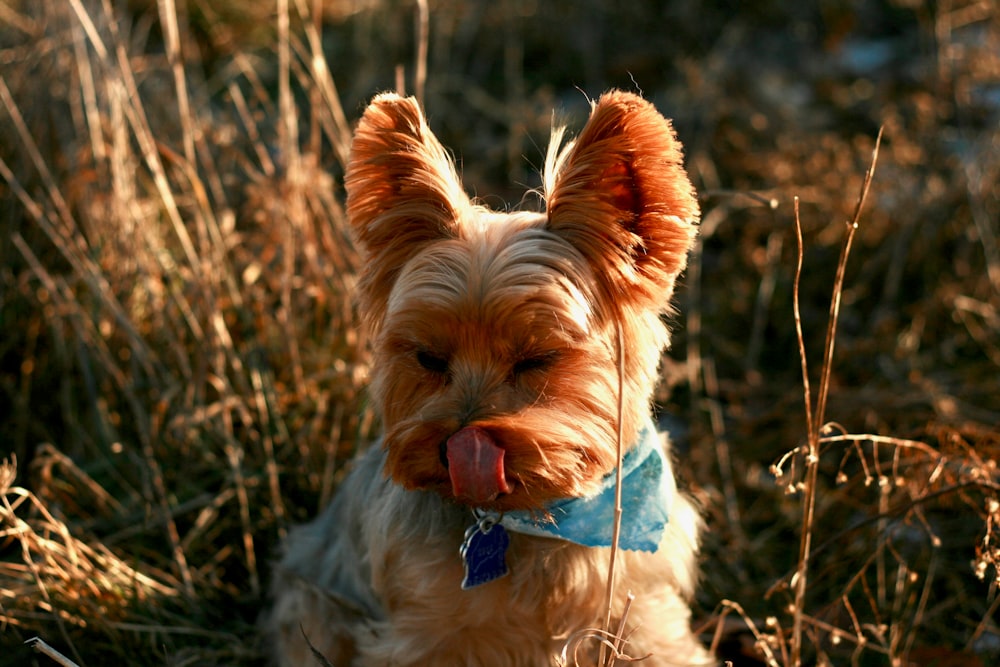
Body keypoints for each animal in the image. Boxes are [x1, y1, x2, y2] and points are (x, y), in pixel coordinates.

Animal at [266, 90, 712, 667]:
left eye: (537, 357)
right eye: (429, 358)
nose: (460, 446)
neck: (534, 518)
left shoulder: (644, 614)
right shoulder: (420, 635)